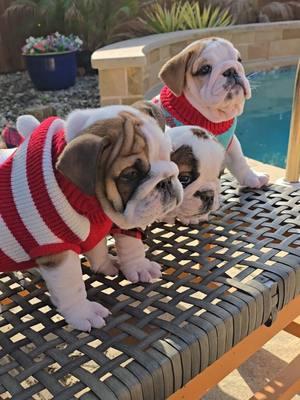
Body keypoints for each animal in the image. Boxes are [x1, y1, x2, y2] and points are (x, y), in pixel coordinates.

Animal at [0, 104, 183, 332]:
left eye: (170, 155)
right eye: (130, 174)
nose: (166, 181)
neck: (93, 203)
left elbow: (117, 246)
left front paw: (132, 266)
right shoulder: (58, 250)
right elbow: (71, 285)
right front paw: (83, 312)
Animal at [152, 36, 270, 189]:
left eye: (239, 60)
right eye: (205, 69)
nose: (231, 70)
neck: (212, 118)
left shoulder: (232, 143)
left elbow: (239, 160)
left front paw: (253, 177)